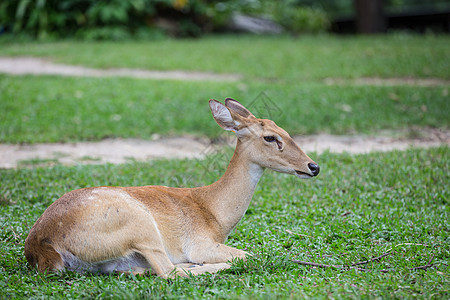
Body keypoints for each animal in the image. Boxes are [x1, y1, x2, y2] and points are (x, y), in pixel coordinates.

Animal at [24, 98, 320, 278]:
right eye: (270, 137)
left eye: (285, 130)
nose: (313, 166)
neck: (214, 213)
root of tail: (42, 247)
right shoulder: (200, 243)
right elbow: (250, 255)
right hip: (139, 224)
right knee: (169, 271)